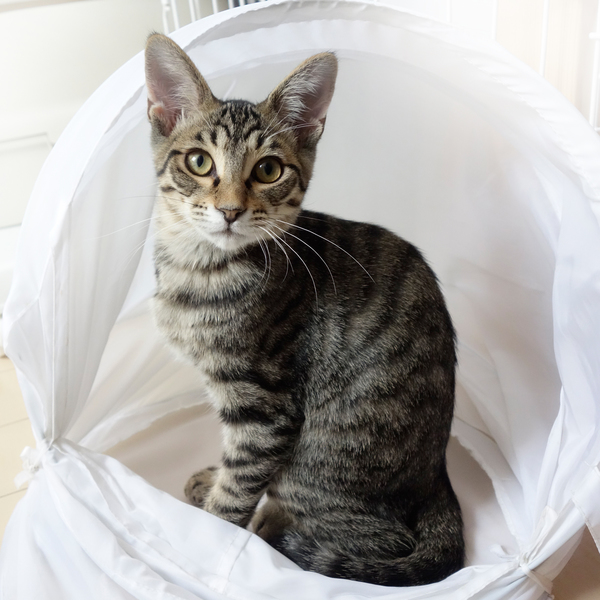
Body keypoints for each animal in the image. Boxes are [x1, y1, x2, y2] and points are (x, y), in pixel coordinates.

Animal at [145, 33, 464, 586]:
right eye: (199, 162)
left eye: (268, 170)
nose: (229, 210)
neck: (198, 269)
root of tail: (437, 479)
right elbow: (232, 469)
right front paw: (212, 481)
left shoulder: (265, 408)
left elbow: (237, 491)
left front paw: (210, 537)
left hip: (313, 466)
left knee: (374, 539)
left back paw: (276, 531)